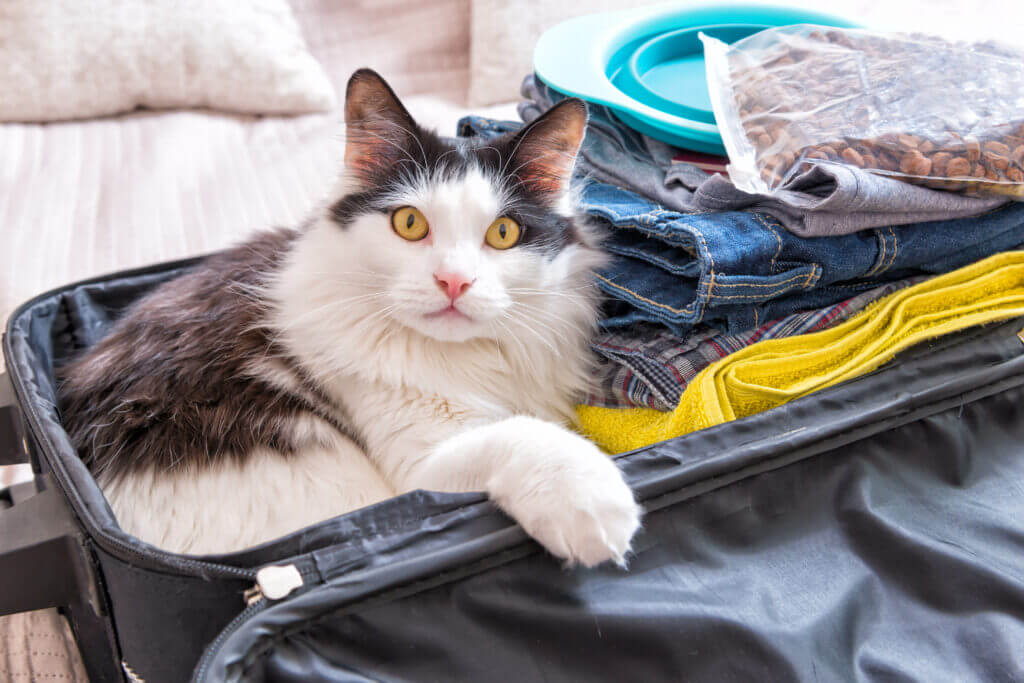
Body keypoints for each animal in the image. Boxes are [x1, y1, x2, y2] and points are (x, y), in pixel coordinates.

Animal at [58, 69, 638, 565]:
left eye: (503, 233)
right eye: (409, 223)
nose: (453, 282)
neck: (463, 359)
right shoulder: (420, 469)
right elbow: (523, 436)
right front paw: (594, 502)